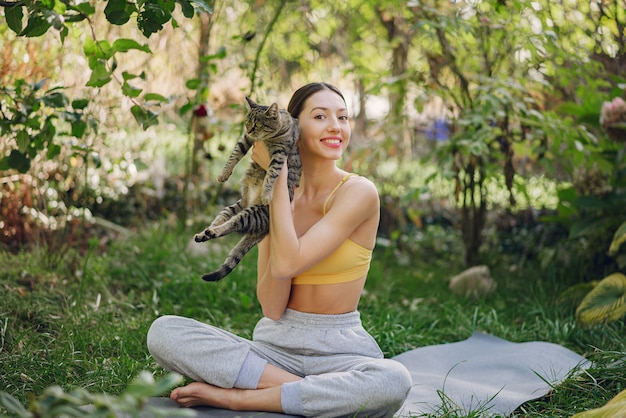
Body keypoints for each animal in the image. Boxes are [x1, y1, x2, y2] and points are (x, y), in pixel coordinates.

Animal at [195, 96, 302, 282]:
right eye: (246, 123)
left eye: (257, 124)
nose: (250, 129)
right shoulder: (245, 139)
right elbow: (233, 156)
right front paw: (223, 174)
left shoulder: (279, 154)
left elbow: (271, 174)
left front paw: (266, 193)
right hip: (232, 208)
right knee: (220, 222)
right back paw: (204, 234)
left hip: (252, 213)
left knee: (231, 225)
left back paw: (212, 232)